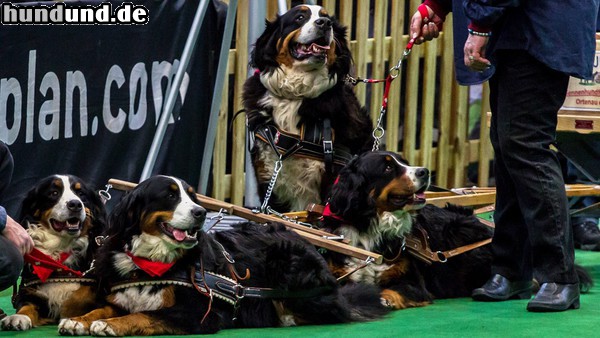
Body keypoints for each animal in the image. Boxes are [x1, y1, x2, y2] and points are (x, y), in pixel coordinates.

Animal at [0, 176, 106, 332]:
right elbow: (27, 305)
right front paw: (18, 317)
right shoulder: (30, 289)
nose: (75, 204)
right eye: (54, 193)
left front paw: (74, 319)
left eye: (81, 193)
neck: (61, 246)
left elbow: (86, 299)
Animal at [57, 176, 390, 336]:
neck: (151, 264)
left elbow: (145, 315)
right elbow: (102, 308)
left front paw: (110, 326)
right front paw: (79, 321)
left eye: (192, 196)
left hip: (291, 267)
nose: (201, 212)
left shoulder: (197, 312)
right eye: (170, 195)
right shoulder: (121, 297)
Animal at [322, 152, 494, 310]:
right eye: (388, 167)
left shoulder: (413, 283)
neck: (372, 230)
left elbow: (395, 289)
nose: (425, 171)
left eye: (405, 162)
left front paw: (384, 299)